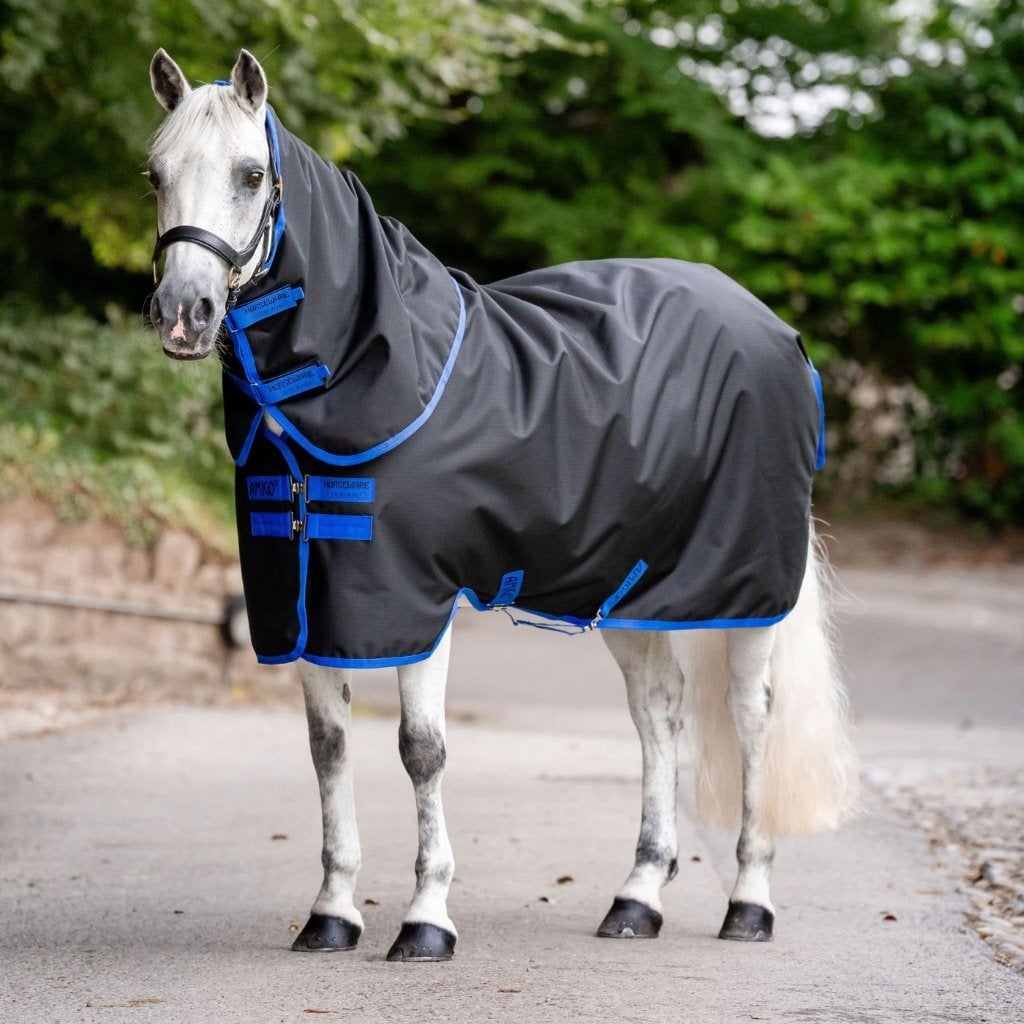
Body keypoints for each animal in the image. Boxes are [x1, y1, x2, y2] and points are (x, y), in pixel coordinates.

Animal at [146, 48, 859, 962]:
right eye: (154, 173)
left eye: (250, 174)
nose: (183, 314)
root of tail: (778, 332)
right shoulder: (305, 599)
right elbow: (328, 749)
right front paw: (332, 913)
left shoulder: (415, 600)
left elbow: (421, 750)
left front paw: (426, 919)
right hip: (628, 587)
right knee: (658, 714)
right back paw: (637, 898)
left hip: (748, 588)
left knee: (753, 718)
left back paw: (750, 902)